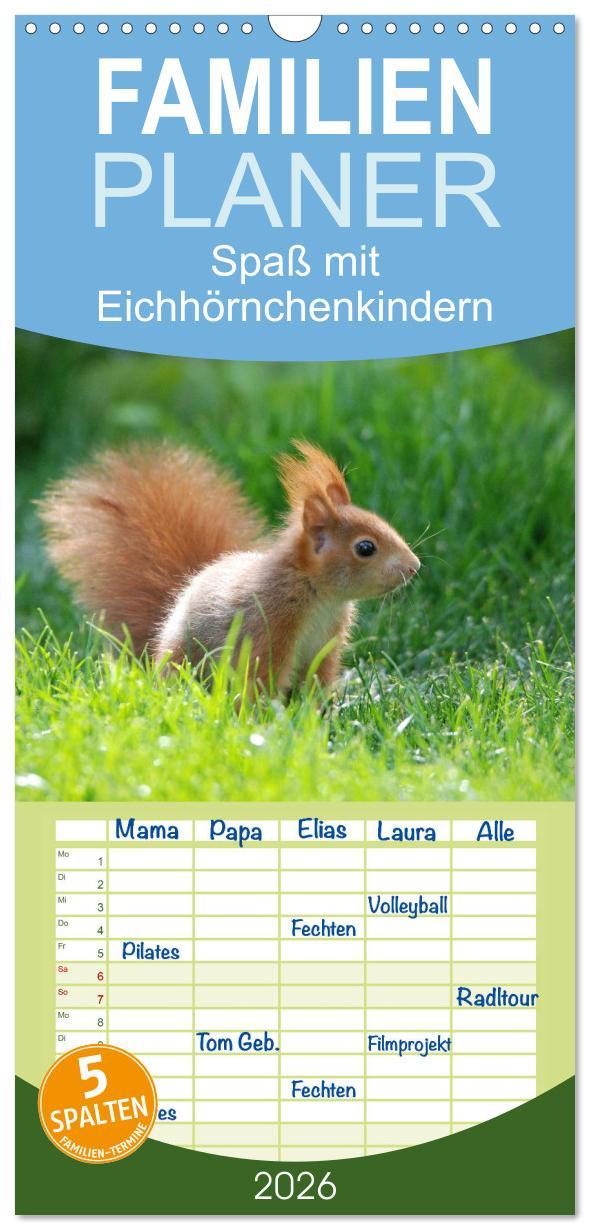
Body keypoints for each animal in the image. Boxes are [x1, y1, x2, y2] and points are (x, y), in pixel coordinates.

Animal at [39, 440, 420, 691]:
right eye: (365, 547)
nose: (413, 567)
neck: (319, 596)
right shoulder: (268, 626)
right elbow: (258, 681)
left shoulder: (325, 644)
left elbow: (317, 681)